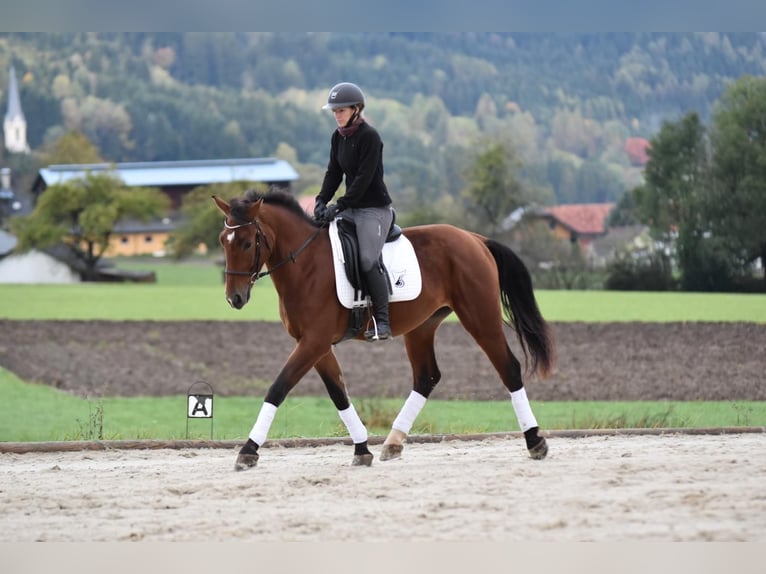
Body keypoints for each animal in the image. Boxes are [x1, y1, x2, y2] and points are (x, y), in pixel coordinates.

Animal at [213, 191, 556, 470]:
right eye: (221, 241)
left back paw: (535, 441)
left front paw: (248, 450)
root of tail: (475, 239)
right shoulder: (315, 345)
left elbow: (278, 388)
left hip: (480, 318)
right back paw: (393, 442)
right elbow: (338, 393)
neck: (306, 265)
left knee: (508, 368)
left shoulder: (313, 342)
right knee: (427, 377)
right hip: (422, 327)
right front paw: (362, 449)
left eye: (247, 243)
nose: (234, 298)